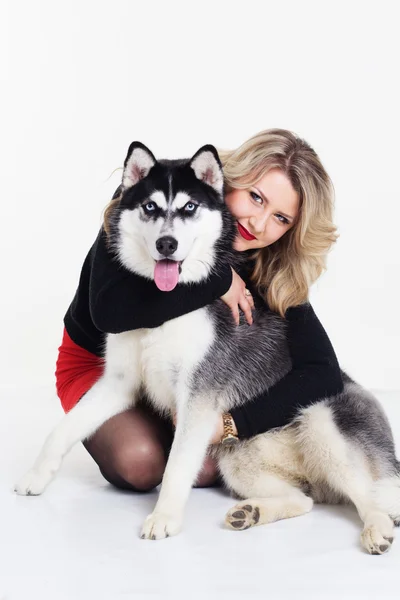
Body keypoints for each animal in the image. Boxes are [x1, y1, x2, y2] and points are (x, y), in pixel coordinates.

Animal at [14, 142, 400, 552]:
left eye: (189, 207)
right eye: (150, 206)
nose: (167, 244)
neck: (164, 305)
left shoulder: (197, 398)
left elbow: (176, 465)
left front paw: (164, 518)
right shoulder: (118, 383)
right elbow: (62, 429)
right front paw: (35, 477)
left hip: (323, 426)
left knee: (371, 495)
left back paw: (376, 530)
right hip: (238, 460)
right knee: (303, 500)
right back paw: (251, 512)